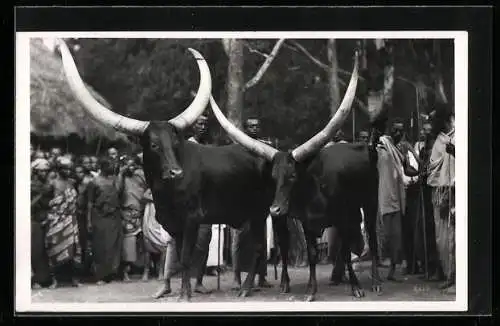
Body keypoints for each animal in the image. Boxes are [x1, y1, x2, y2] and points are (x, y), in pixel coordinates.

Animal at [57, 38, 288, 300]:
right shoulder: (172, 224)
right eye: (154, 145)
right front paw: (182, 290)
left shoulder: (191, 220)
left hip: (264, 213)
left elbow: (186, 258)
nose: (176, 173)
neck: (165, 193)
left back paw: (252, 288)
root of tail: (272, 154)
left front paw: (185, 294)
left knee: (263, 248)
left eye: (174, 142)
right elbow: (178, 257)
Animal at [209, 53, 384, 300]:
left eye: (292, 175)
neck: (316, 189)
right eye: (273, 177)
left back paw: (376, 281)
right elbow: (311, 254)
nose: (274, 209)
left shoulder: (343, 216)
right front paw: (311, 290)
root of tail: (366, 148)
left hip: (369, 202)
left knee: (372, 237)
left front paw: (357, 287)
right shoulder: (308, 223)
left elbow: (346, 251)